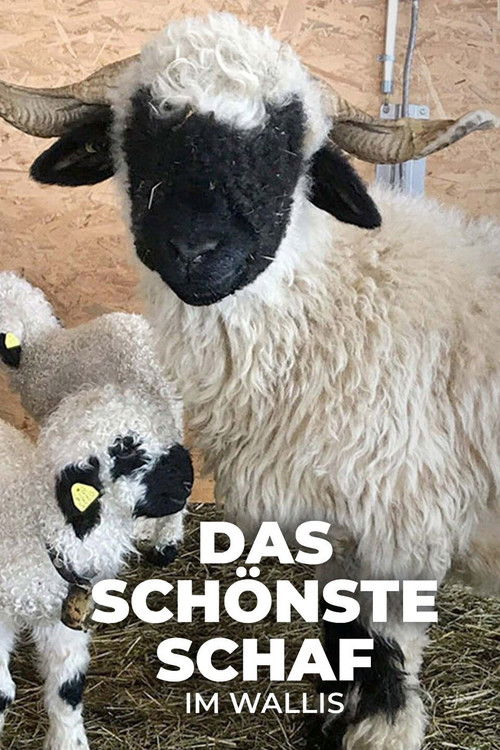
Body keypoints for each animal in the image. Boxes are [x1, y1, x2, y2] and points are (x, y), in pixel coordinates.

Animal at [0, 383, 193, 750]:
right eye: (126, 450)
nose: (188, 479)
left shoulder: (60, 616)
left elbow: (68, 689)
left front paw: (68, 742)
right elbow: (2, 693)